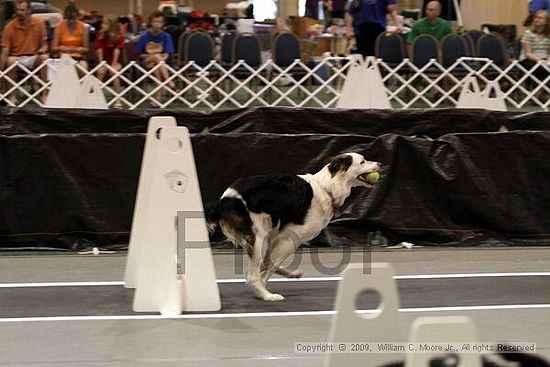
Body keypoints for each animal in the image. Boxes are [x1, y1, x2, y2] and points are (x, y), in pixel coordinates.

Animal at [208, 152, 384, 302]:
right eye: (362, 161)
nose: (381, 164)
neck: (327, 188)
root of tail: (224, 200)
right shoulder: (290, 238)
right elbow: (268, 267)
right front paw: (261, 290)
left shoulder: (277, 236)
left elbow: (269, 264)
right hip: (259, 237)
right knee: (252, 275)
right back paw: (267, 295)